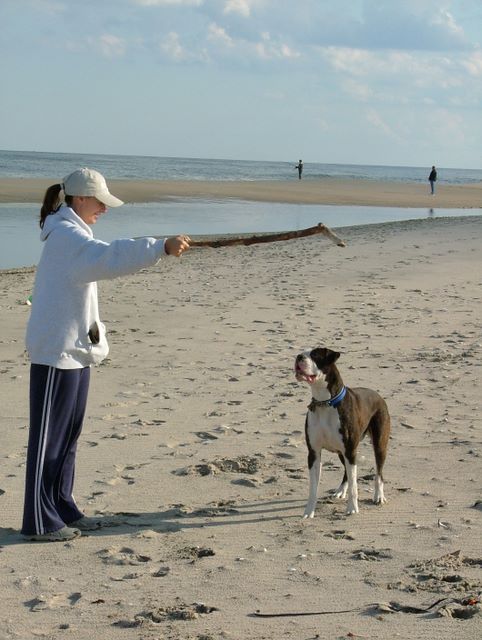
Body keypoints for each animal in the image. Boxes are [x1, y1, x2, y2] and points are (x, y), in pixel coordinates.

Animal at [295, 347, 390, 517]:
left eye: (315, 355)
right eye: (303, 352)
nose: (299, 357)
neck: (324, 402)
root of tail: (378, 395)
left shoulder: (350, 451)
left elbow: (354, 486)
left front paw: (352, 508)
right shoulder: (314, 453)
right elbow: (313, 488)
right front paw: (309, 511)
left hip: (378, 445)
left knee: (379, 472)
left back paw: (378, 495)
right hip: (342, 452)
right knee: (347, 471)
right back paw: (341, 490)